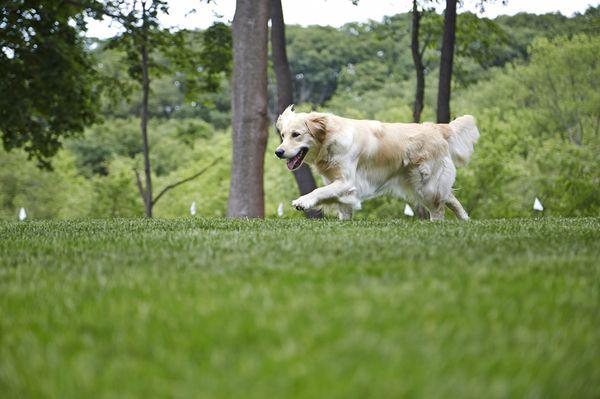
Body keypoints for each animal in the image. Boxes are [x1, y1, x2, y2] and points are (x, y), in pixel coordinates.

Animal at [276, 106, 478, 222]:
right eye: (283, 135)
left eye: (296, 134)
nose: (278, 152)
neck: (330, 139)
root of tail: (435, 127)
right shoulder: (340, 185)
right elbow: (341, 206)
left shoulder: (346, 181)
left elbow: (318, 191)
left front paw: (303, 201)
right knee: (449, 197)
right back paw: (465, 219)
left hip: (426, 184)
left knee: (439, 206)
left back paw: (437, 223)